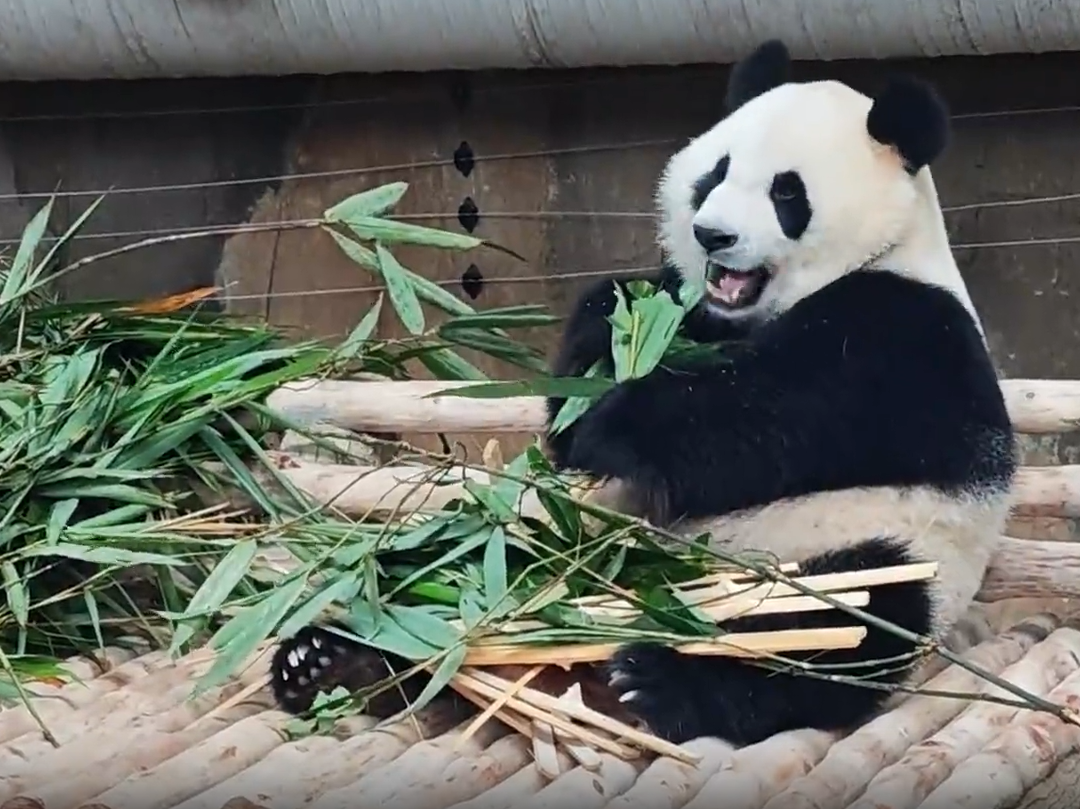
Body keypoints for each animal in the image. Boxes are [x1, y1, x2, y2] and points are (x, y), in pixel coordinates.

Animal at [267, 39, 1015, 749]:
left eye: (787, 193)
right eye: (715, 173)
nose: (712, 234)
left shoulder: (907, 334)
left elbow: (771, 419)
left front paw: (617, 420)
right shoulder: (699, 313)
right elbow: (606, 354)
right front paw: (610, 340)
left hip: (859, 553)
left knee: (841, 624)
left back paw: (658, 680)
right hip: (536, 537)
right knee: (449, 565)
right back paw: (333, 659)